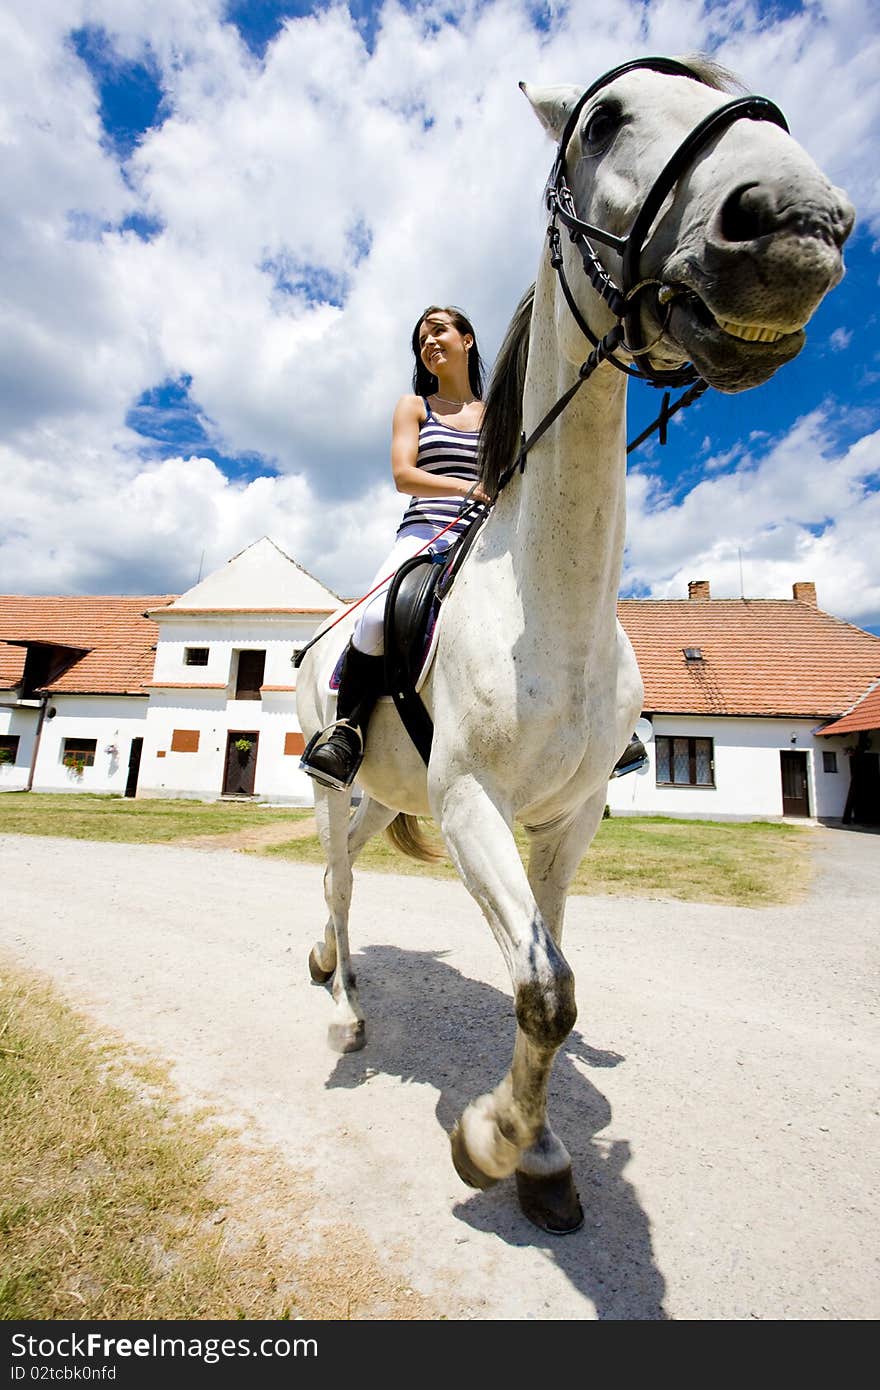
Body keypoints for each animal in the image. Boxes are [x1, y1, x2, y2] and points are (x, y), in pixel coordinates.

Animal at [297, 54, 850, 1234]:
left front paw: (544, 1154)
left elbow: (549, 974)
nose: (797, 225)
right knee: (335, 880)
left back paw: (332, 969)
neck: (549, 604)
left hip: (382, 795)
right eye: (603, 121)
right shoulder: (471, 803)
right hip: (334, 781)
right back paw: (345, 1009)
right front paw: (489, 1142)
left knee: (346, 877)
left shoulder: (570, 815)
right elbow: (545, 990)